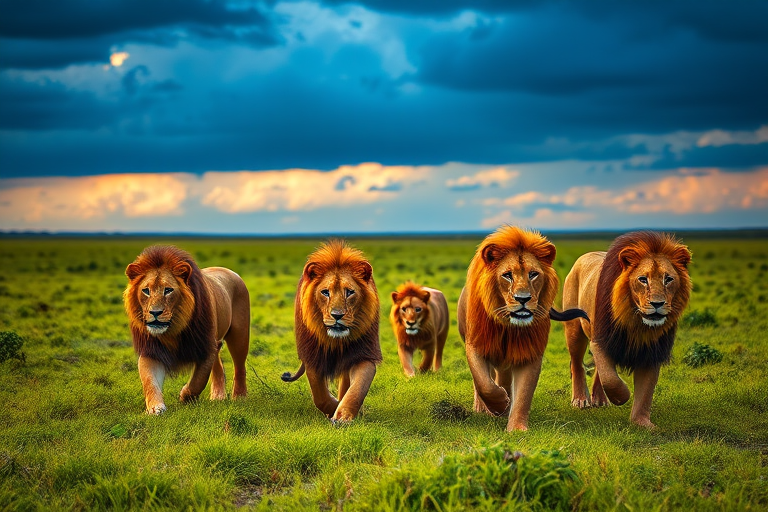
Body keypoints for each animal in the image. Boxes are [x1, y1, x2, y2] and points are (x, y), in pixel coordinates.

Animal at [124, 245, 250, 415]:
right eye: (146, 291)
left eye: (168, 290)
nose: (155, 312)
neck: (173, 330)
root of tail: (229, 271)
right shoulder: (151, 351)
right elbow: (149, 381)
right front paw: (155, 408)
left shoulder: (204, 347)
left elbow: (198, 381)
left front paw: (184, 396)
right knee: (218, 365)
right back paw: (218, 396)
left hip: (239, 335)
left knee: (239, 367)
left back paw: (240, 397)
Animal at [281, 240, 381, 423]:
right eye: (325, 292)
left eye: (349, 292)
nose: (337, 315)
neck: (336, 341)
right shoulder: (313, 356)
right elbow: (319, 396)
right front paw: (333, 408)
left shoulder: (363, 354)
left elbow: (357, 389)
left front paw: (343, 416)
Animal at [457, 226, 589, 431]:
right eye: (507, 275)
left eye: (533, 274)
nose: (523, 299)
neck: (509, 327)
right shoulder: (476, 344)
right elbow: (484, 383)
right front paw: (499, 404)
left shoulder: (529, 352)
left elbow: (524, 394)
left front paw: (516, 427)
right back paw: (484, 406)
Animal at [563, 230, 691, 428]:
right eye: (643, 279)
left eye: (668, 279)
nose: (657, 304)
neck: (638, 324)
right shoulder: (600, 340)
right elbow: (611, 379)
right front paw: (622, 396)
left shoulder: (653, 351)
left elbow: (645, 392)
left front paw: (643, 423)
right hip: (574, 328)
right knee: (577, 364)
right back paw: (581, 399)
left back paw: (600, 398)